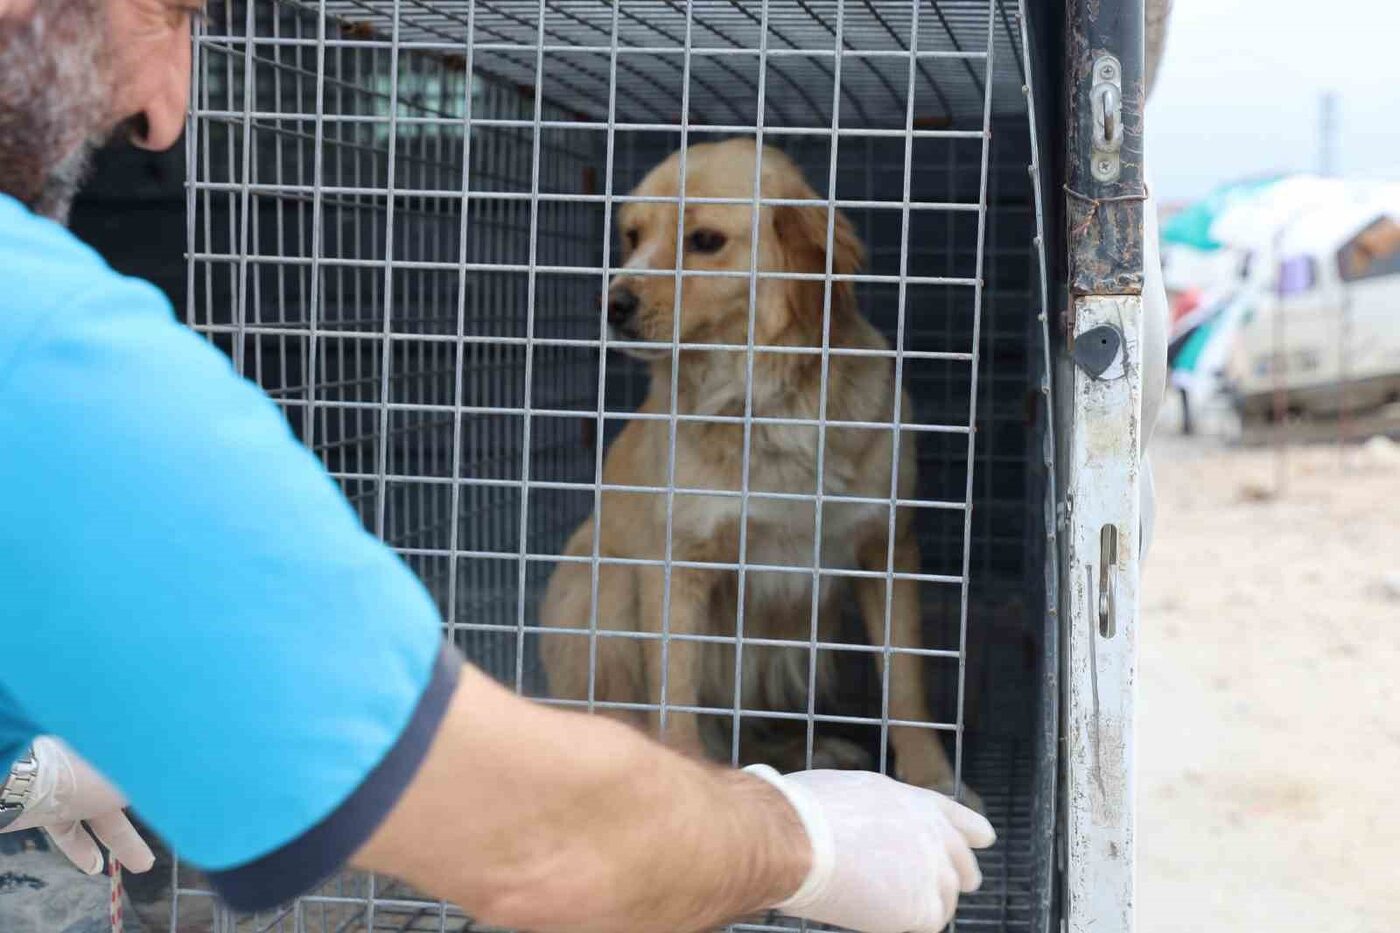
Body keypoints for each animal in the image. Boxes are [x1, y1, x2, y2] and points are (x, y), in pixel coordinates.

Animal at [543, 134, 974, 801]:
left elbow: (905, 684)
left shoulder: (888, 548)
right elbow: (675, 699)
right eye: (632, 237)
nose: (610, 303)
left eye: (705, 240)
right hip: (603, 582)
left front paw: (932, 779)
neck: (762, 401)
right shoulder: (678, 566)